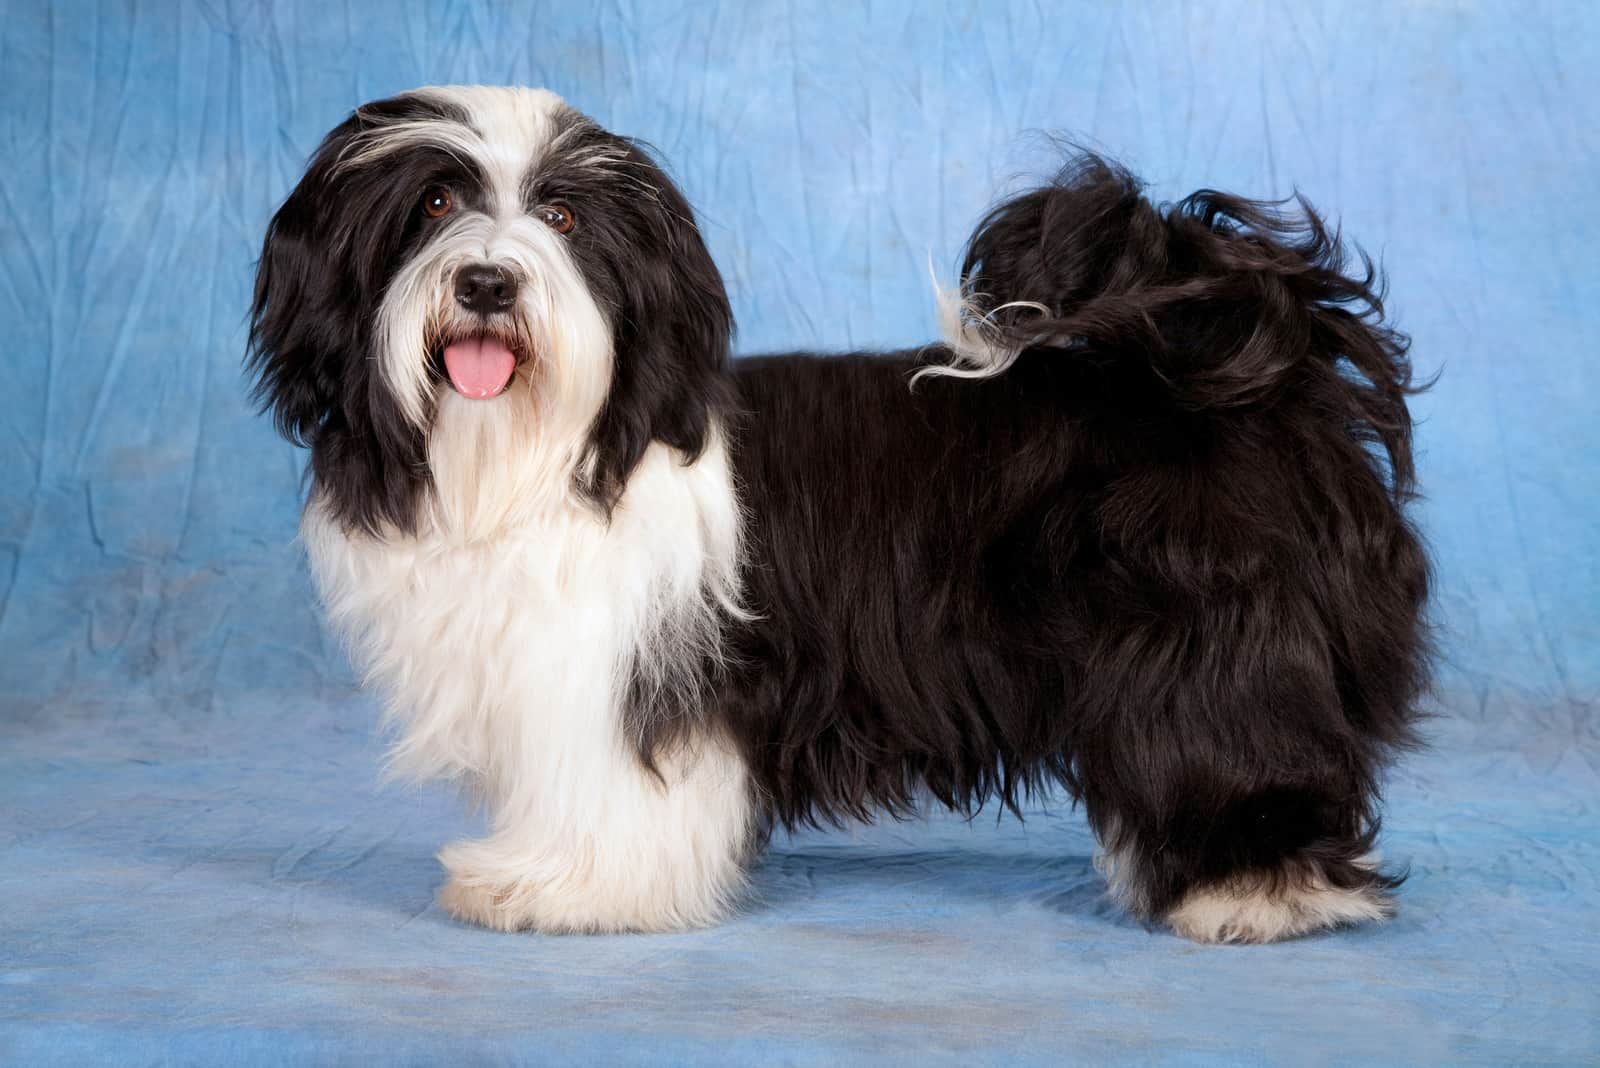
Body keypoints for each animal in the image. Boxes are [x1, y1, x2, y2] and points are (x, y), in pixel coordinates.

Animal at [246, 87, 1427, 946]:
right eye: (435, 208)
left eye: (563, 216)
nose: (489, 282)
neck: (537, 455)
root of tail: (1249, 373)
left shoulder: (628, 668)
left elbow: (612, 788)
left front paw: (569, 887)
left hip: (1208, 647)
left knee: (1240, 744)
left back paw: (1251, 891)